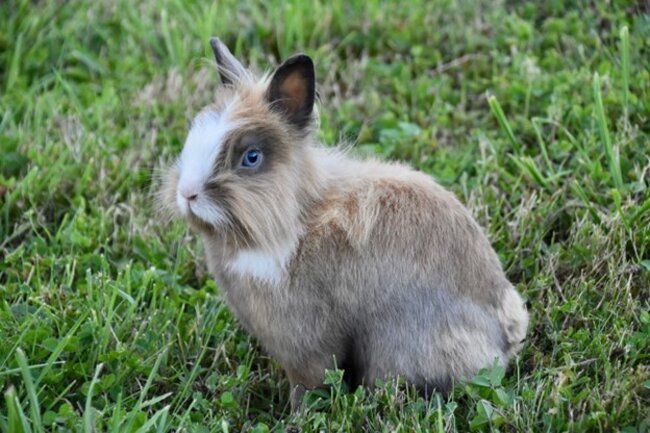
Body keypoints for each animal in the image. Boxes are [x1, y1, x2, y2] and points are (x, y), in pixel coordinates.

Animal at [158, 38, 528, 408]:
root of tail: (505, 336)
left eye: (251, 157)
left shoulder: (306, 341)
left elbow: (309, 381)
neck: (291, 222)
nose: (187, 193)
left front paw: (297, 414)